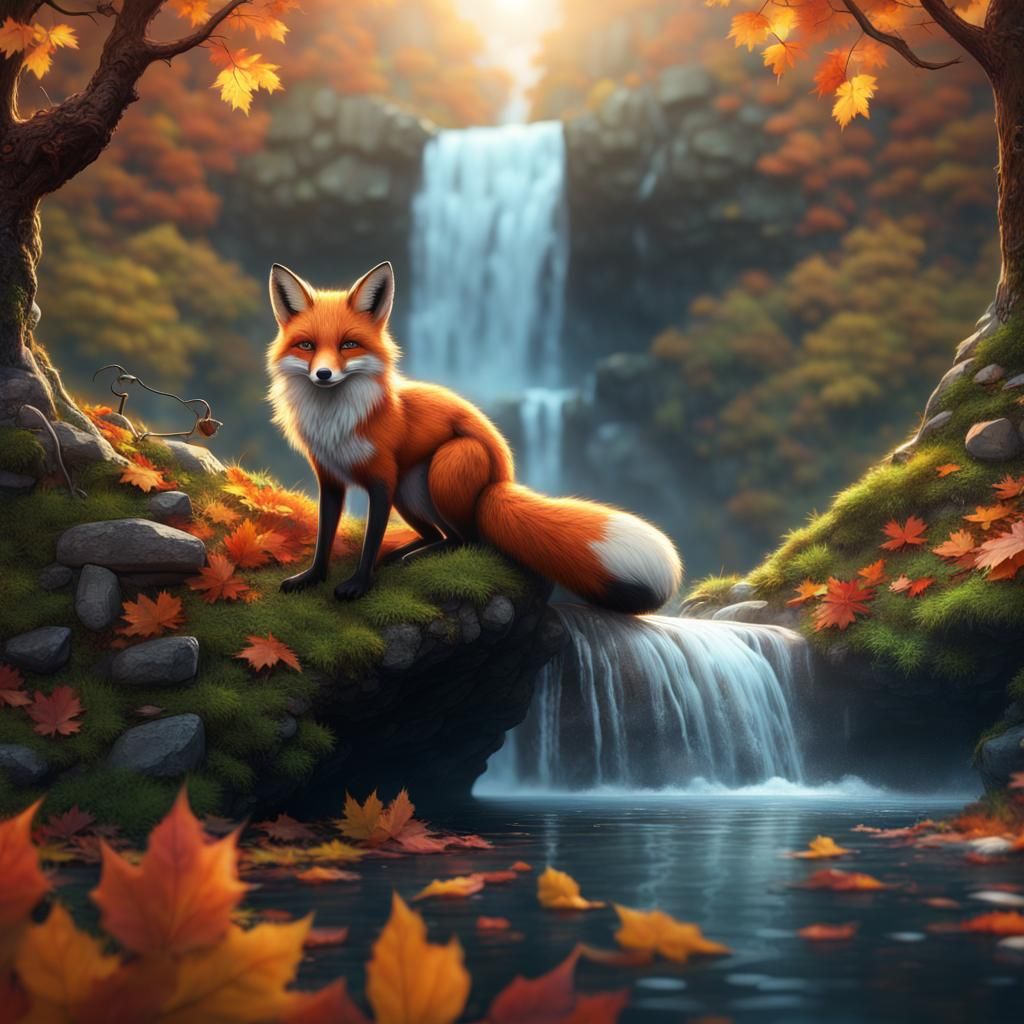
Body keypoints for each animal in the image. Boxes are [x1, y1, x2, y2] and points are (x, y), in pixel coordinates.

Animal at [266, 261, 683, 612]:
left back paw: (414, 557)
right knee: (439, 535)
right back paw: (403, 553)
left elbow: (369, 541)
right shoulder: (331, 478)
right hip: (410, 492)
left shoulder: (383, 479)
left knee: (469, 539)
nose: (323, 375)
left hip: (445, 466)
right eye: (307, 346)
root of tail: (501, 478)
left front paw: (359, 584)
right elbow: (324, 535)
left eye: (348, 345)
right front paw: (312, 578)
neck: (336, 420)